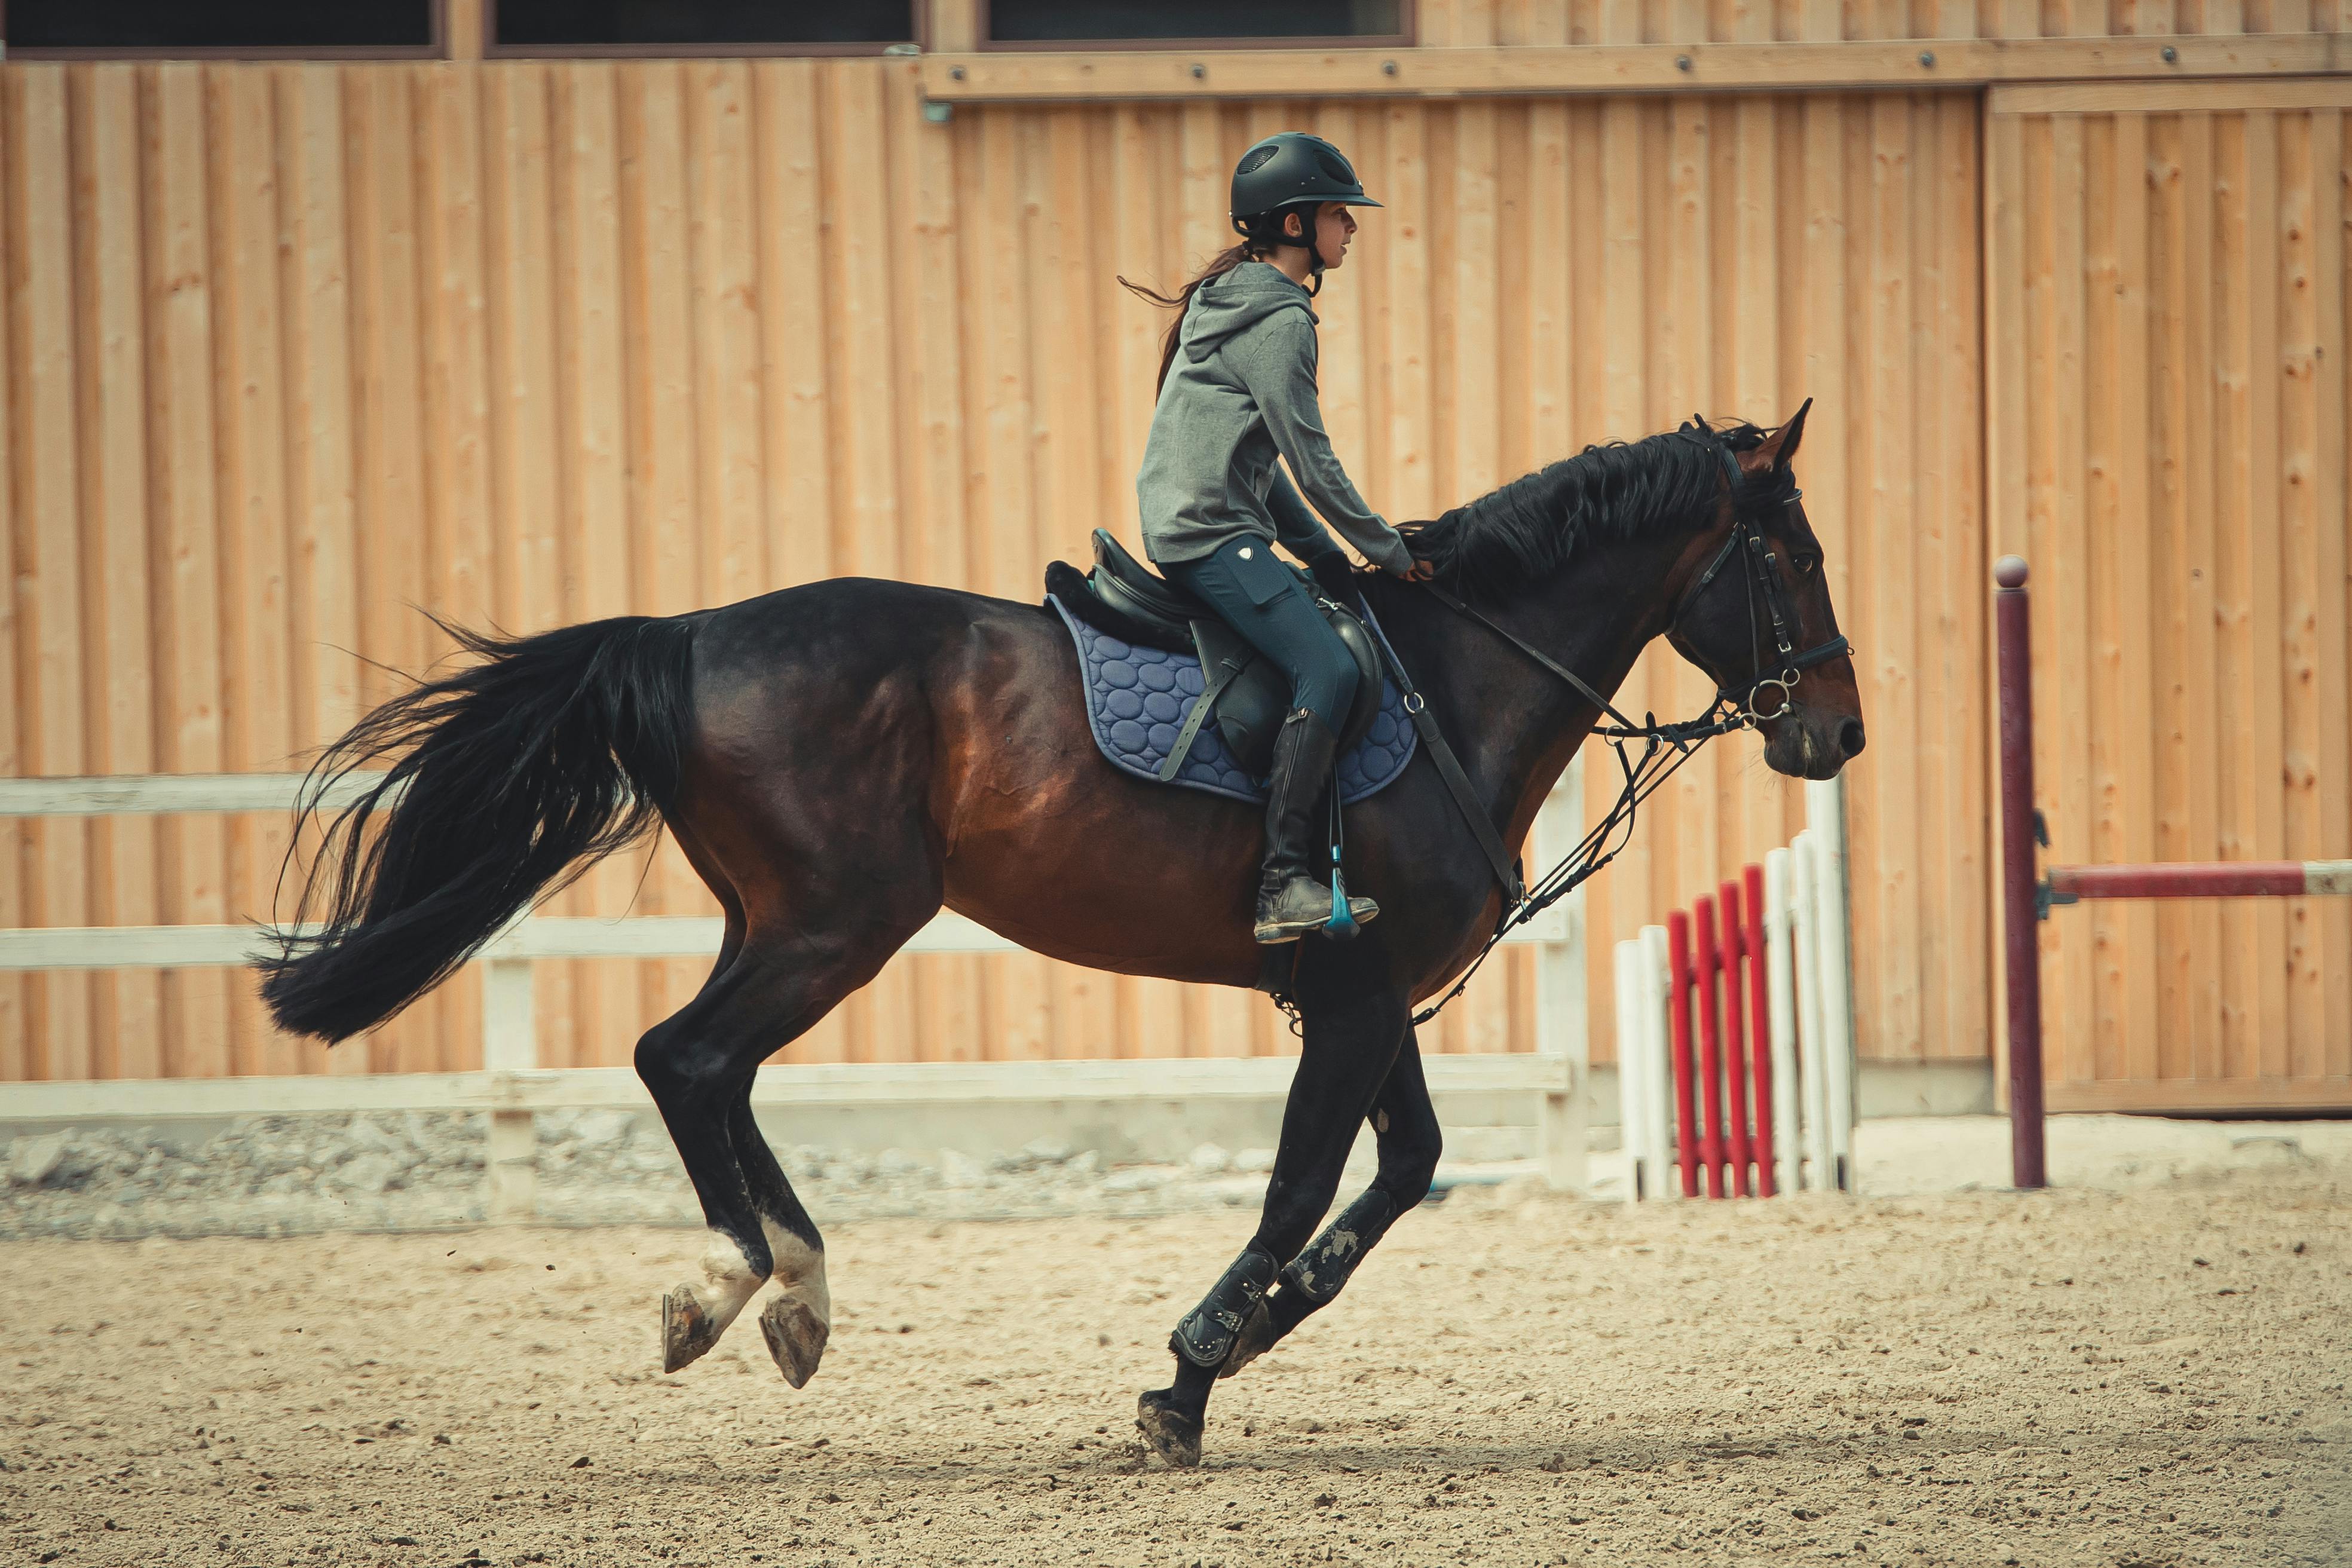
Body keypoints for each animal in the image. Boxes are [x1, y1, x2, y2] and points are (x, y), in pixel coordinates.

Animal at [257, 399, 1863, 1466]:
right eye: (1792, 551)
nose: (1838, 732)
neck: (1451, 682)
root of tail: (687, 632)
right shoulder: (1350, 997)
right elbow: (1301, 1184)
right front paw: (1188, 1377)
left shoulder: (1368, 989)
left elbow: (1400, 1169)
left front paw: (1253, 1328)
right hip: (838, 922)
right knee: (687, 1057)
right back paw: (741, 1283)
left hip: (785, 919)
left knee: (708, 1069)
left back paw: (789, 1289)